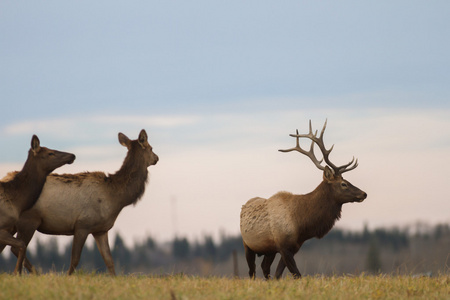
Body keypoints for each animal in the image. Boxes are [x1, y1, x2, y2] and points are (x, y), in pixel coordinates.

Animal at [241, 119, 368, 278]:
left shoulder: (293, 247)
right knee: (252, 270)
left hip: (269, 250)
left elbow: (279, 274)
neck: (301, 224)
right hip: (247, 245)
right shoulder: (283, 246)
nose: (364, 193)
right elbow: (296, 273)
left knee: (265, 268)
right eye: (343, 183)